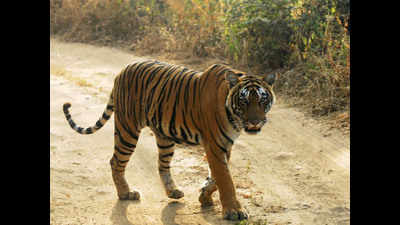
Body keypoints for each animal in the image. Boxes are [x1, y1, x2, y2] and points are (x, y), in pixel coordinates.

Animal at [62, 59, 276, 220]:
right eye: (244, 101)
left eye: (263, 100)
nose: (255, 122)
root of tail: (122, 70)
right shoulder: (215, 145)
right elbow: (225, 179)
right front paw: (234, 211)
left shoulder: (225, 145)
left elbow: (216, 177)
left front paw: (204, 195)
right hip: (127, 129)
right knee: (116, 161)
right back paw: (125, 193)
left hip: (165, 137)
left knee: (162, 165)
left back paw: (172, 192)